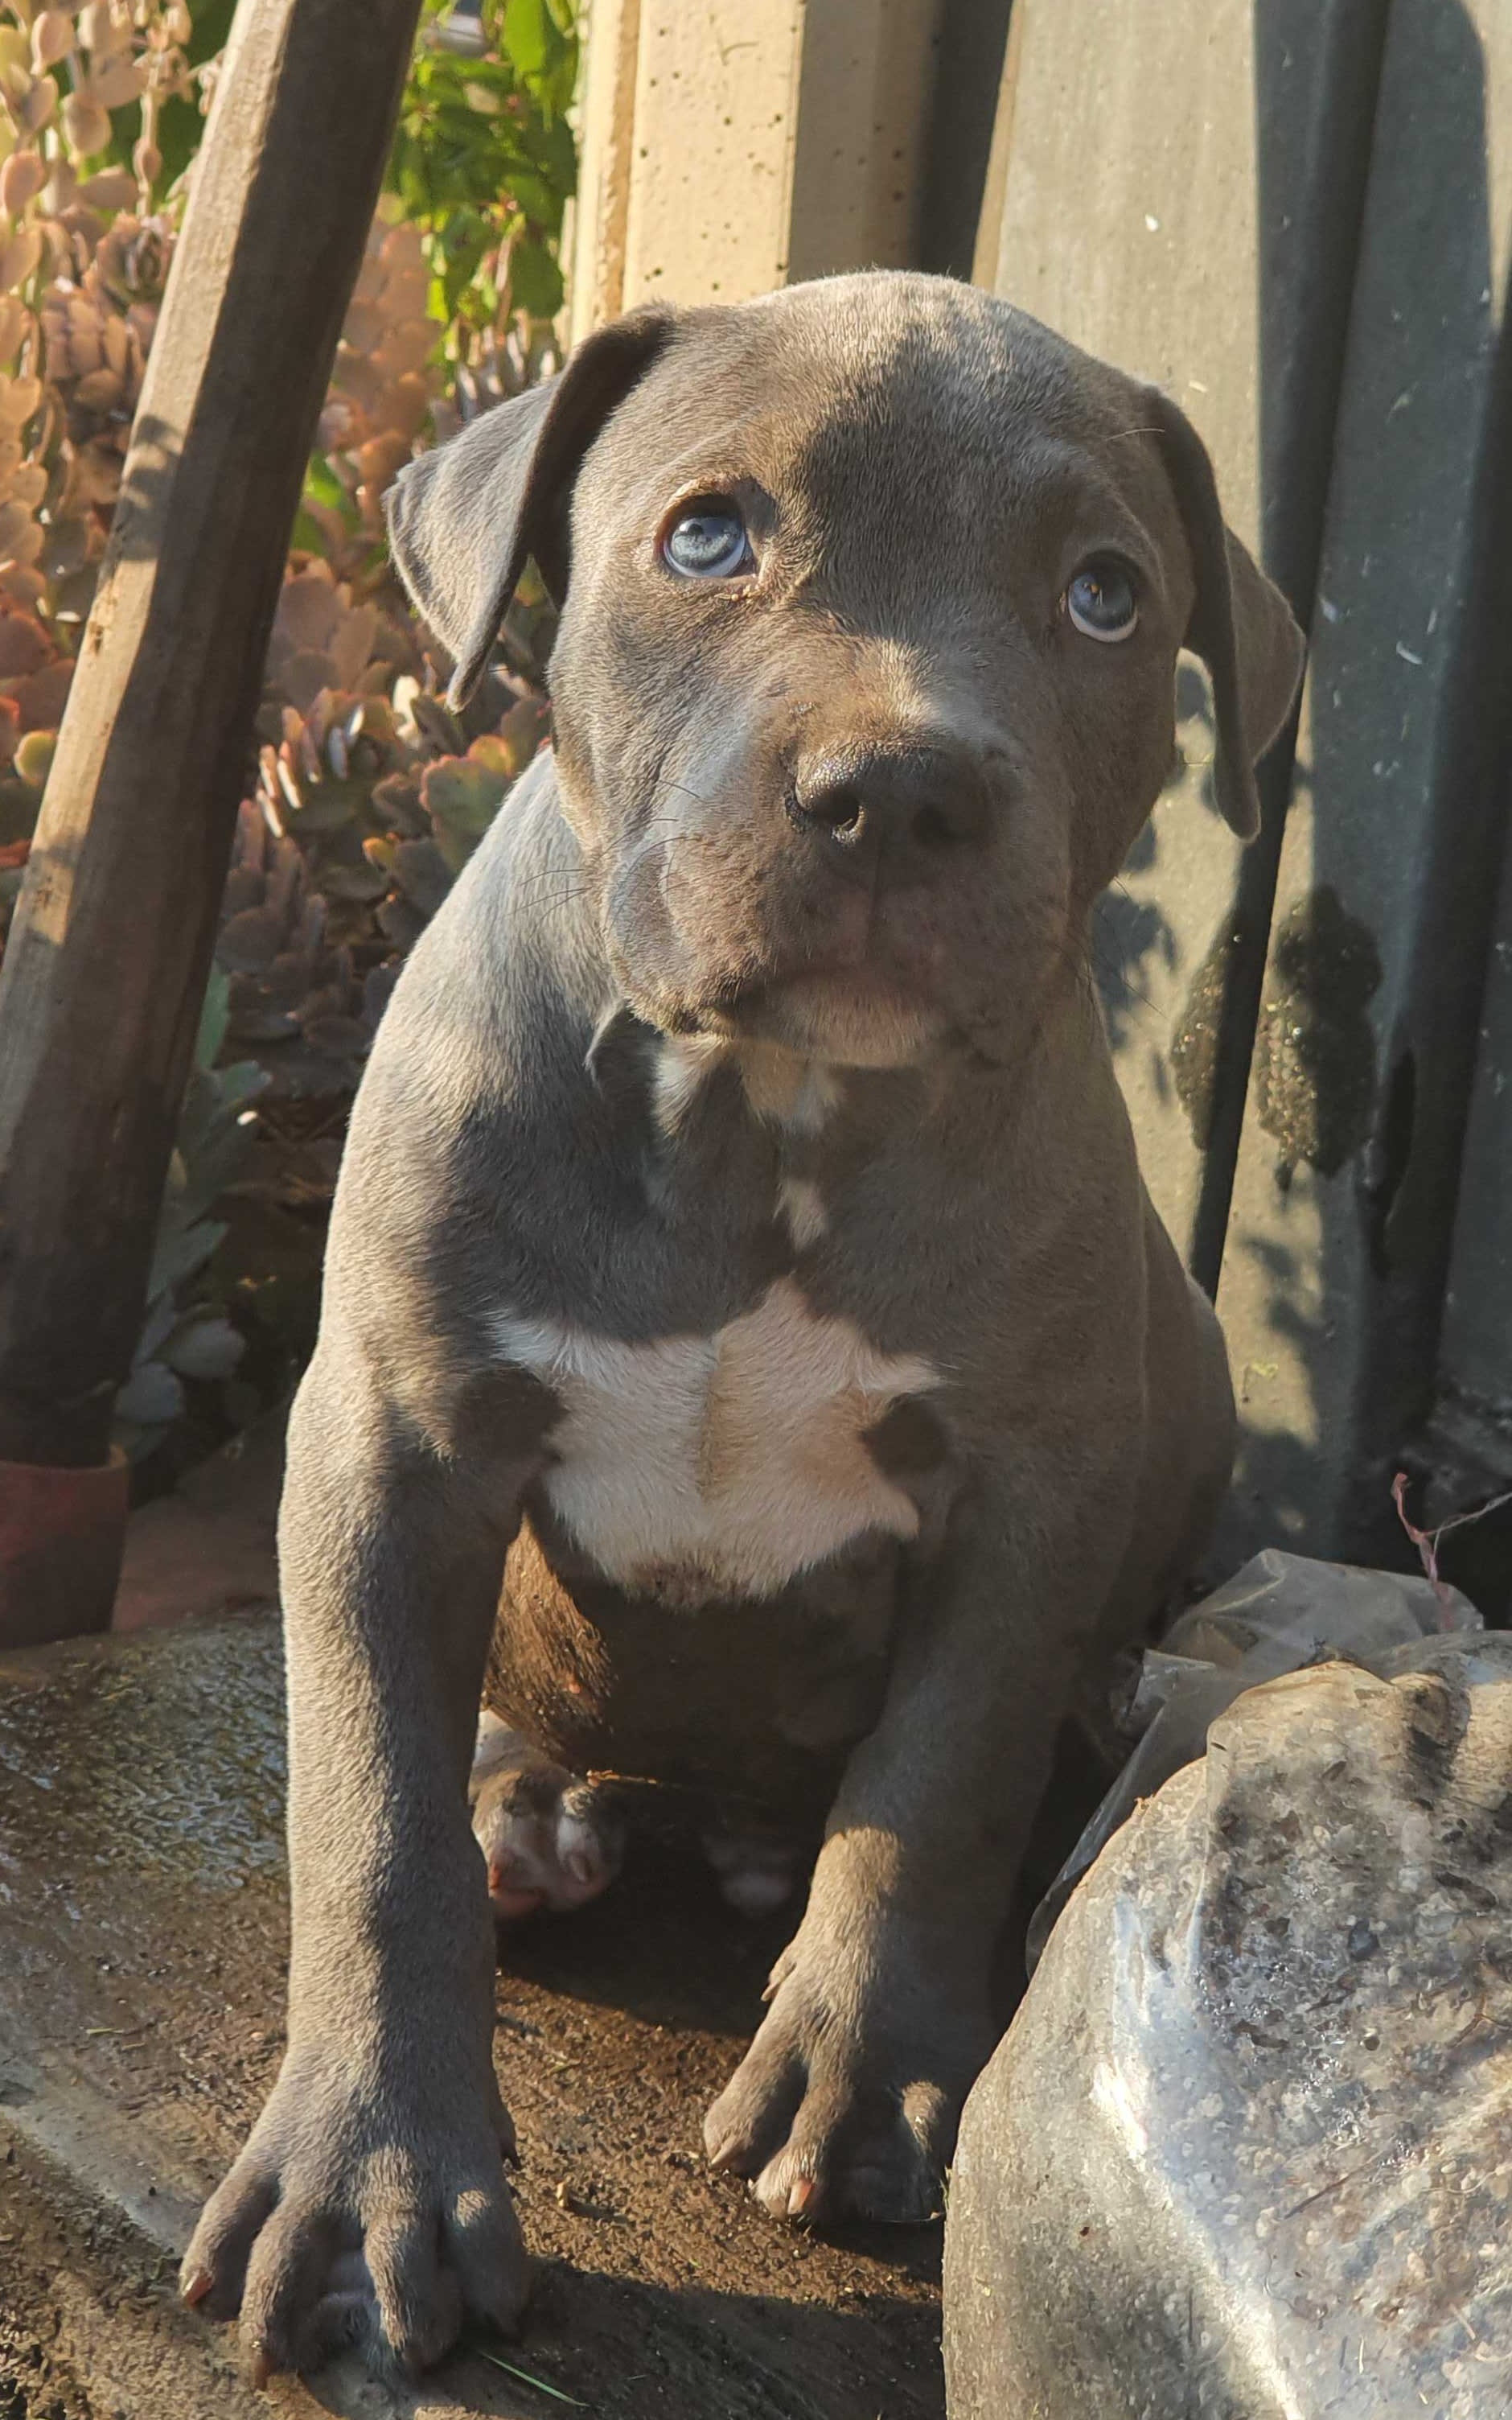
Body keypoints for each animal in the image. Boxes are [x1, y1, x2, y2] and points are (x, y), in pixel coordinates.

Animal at [186, 270, 1296, 2381]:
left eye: (1105, 594)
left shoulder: (1033, 1484)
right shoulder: (386, 1439)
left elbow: (935, 1777)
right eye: (706, 537)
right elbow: (369, 1821)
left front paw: (859, 2073)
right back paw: (525, 1809)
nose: (903, 790)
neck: (763, 1118)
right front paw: (369, 2174)